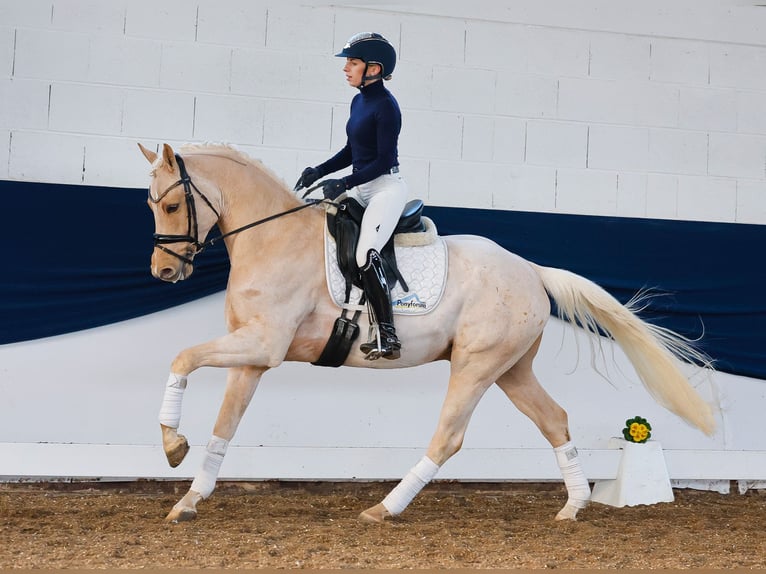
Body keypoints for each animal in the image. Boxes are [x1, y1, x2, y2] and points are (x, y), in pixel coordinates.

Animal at [140, 142, 720, 524]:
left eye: (171, 204)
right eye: (151, 205)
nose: (163, 272)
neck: (272, 237)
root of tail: (531, 270)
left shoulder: (263, 346)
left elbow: (180, 358)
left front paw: (172, 445)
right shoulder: (253, 355)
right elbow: (225, 426)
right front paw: (188, 498)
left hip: (476, 365)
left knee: (449, 435)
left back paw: (385, 508)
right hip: (510, 369)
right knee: (554, 419)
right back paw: (573, 507)